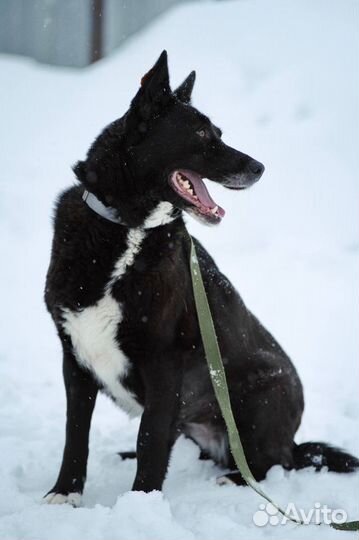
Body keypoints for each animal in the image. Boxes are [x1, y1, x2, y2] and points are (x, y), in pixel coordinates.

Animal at [43, 50, 358, 506]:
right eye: (202, 134)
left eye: (219, 133)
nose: (260, 168)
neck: (129, 229)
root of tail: (294, 441)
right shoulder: (75, 359)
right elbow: (76, 433)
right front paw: (65, 493)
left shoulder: (163, 367)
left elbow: (151, 439)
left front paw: (142, 504)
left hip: (262, 395)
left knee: (269, 462)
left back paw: (233, 479)